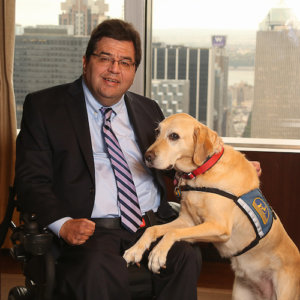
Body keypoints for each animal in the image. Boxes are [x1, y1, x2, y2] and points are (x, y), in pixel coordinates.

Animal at [123, 113, 298, 300]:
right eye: (157, 132)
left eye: (174, 136)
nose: (146, 157)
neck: (203, 171)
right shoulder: (187, 222)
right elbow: (153, 229)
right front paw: (135, 250)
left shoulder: (218, 227)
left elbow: (172, 233)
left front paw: (157, 254)